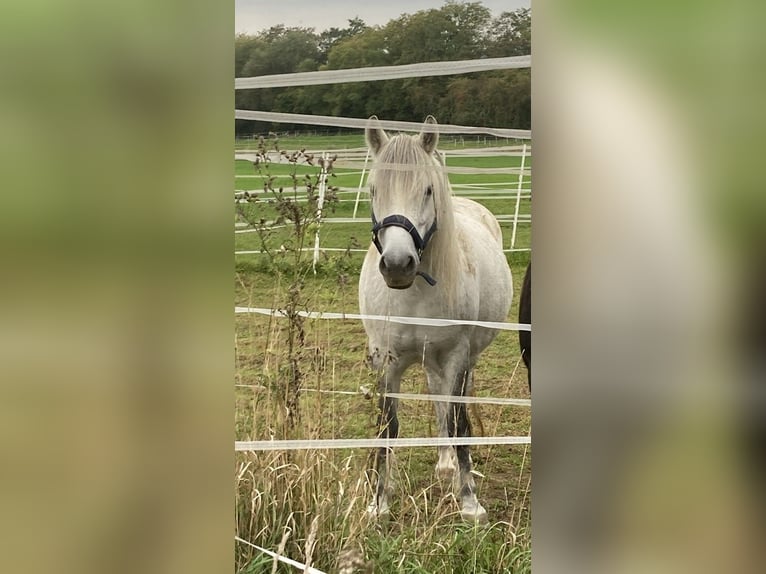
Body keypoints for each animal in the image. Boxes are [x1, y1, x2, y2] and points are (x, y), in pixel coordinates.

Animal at [358, 116, 513, 523]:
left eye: (427, 190)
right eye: (374, 190)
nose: (398, 265)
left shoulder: (456, 354)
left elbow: (459, 421)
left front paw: (470, 502)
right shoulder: (386, 360)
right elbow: (388, 426)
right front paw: (378, 502)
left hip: (465, 358)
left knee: (451, 402)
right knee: (436, 393)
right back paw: (444, 464)